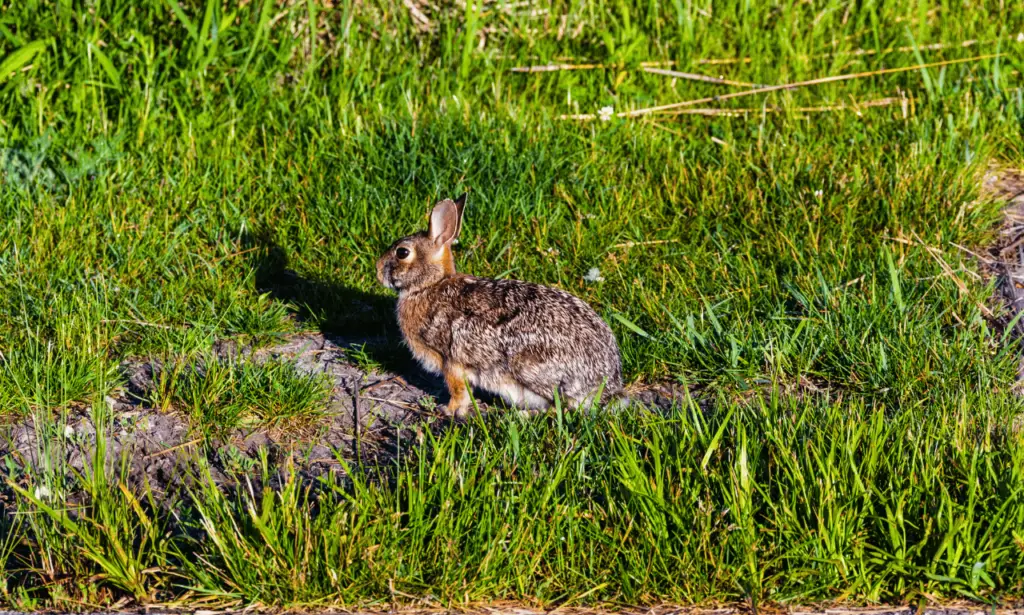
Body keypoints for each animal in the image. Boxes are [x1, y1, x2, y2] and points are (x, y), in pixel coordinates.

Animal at [376, 195, 622, 417]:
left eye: (402, 252)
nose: (378, 271)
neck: (429, 285)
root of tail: (609, 386)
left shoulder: (451, 362)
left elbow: (459, 392)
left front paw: (448, 410)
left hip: (530, 369)